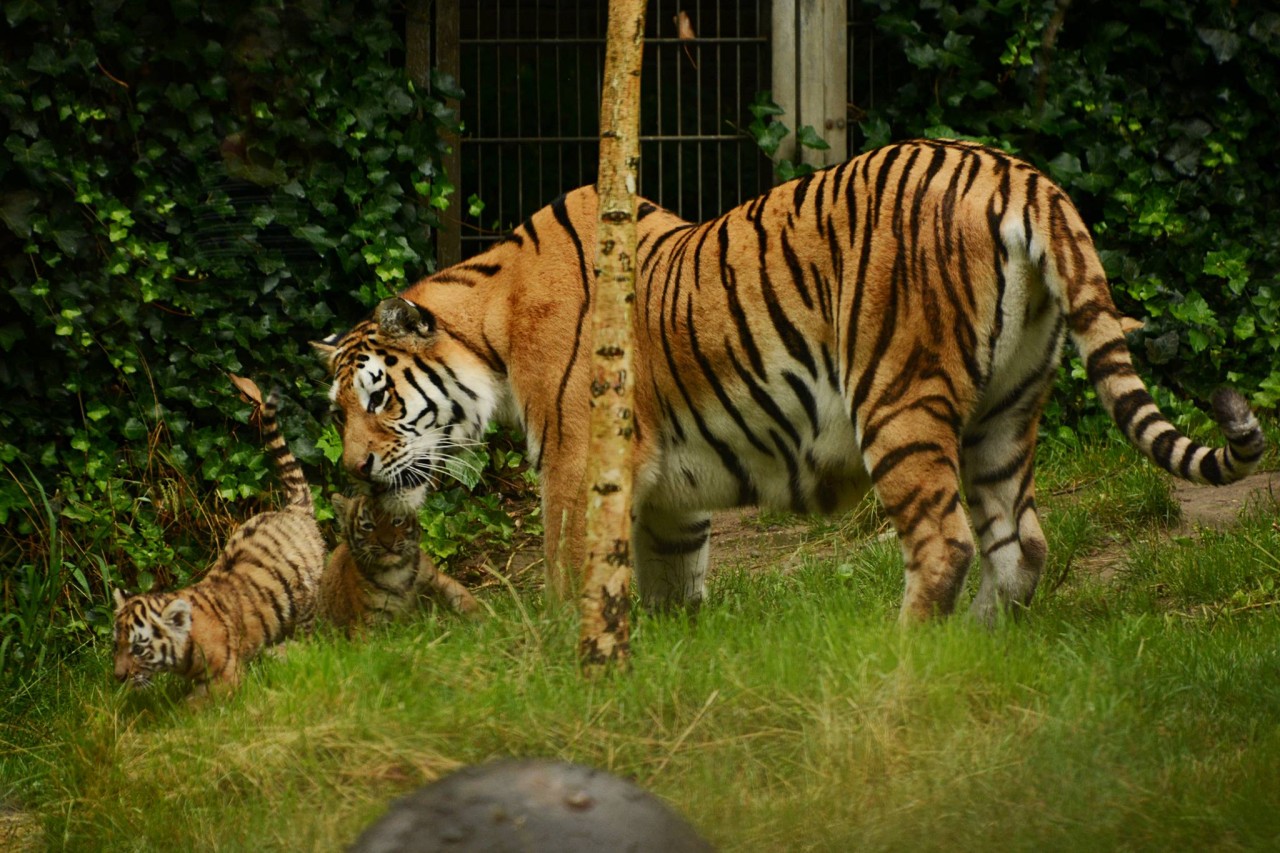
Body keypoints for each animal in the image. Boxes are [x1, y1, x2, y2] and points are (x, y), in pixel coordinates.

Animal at [314, 137, 1264, 617]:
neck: (495, 321)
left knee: (945, 543)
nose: (353, 471)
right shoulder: (669, 500)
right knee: (1020, 544)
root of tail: (1014, 171)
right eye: (336, 414)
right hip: (1008, 408)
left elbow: (567, 578)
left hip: (897, 393)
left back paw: (909, 656)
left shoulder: (580, 468)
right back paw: (980, 653)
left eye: (377, 397)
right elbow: (671, 586)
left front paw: (566, 665)